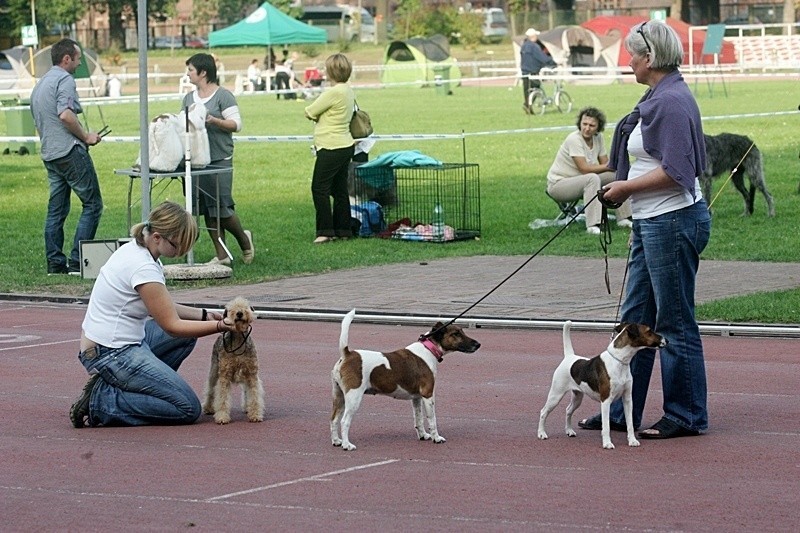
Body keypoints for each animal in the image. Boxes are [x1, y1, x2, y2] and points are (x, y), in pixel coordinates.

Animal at [332, 308, 482, 448]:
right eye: (456, 334)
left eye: (462, 332)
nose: (478, 344)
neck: (429, 349)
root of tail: (347, 354)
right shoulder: (428, 395)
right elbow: (432, 419)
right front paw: (436, 438)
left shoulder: (416, 398)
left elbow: (419, 419)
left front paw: (423, 435)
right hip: (353, 398)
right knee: (344, 421)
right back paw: (347, 445)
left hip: (339, 397)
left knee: (333, 420)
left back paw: (337, 441)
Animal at [540, 320, 664, 448]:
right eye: (649, 331)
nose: (666, 340)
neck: (619, 362)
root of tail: (569, 357)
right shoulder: (606, 401)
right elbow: (606, 426)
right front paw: (607, 443)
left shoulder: (628, 400)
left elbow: (630, 424)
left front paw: (632, 441)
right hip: (556, 395)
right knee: (543, 412)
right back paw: (542, 433)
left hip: (577, 397)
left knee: (568, 410)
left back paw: (569, 431)